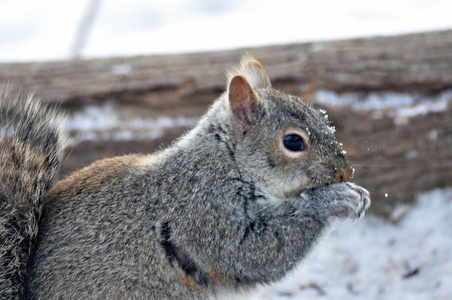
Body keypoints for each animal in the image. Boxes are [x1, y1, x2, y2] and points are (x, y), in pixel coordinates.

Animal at [0, 55, 370, 298]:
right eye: (294, 141)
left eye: (323, 118)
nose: (345, 171)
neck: (224, 165)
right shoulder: (203, 214)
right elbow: (253, 252)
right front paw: (336, 200)